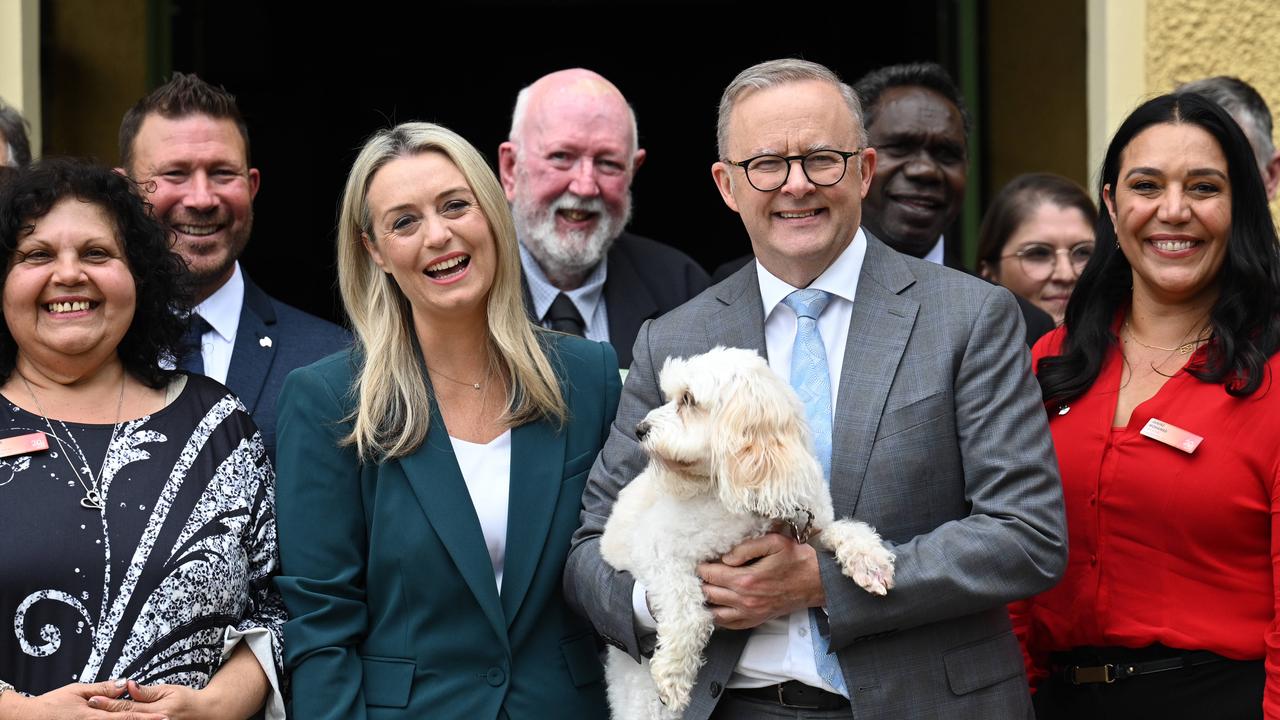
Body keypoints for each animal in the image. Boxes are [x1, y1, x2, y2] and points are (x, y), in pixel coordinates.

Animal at [596, 345, 890, 712]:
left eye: (688, 399)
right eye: (670, 396)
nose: (640, 429)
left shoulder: (808, 527)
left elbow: (845, 530)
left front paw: (869, 559)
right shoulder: (658, 552)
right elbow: (688, 610)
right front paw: (674, 674)